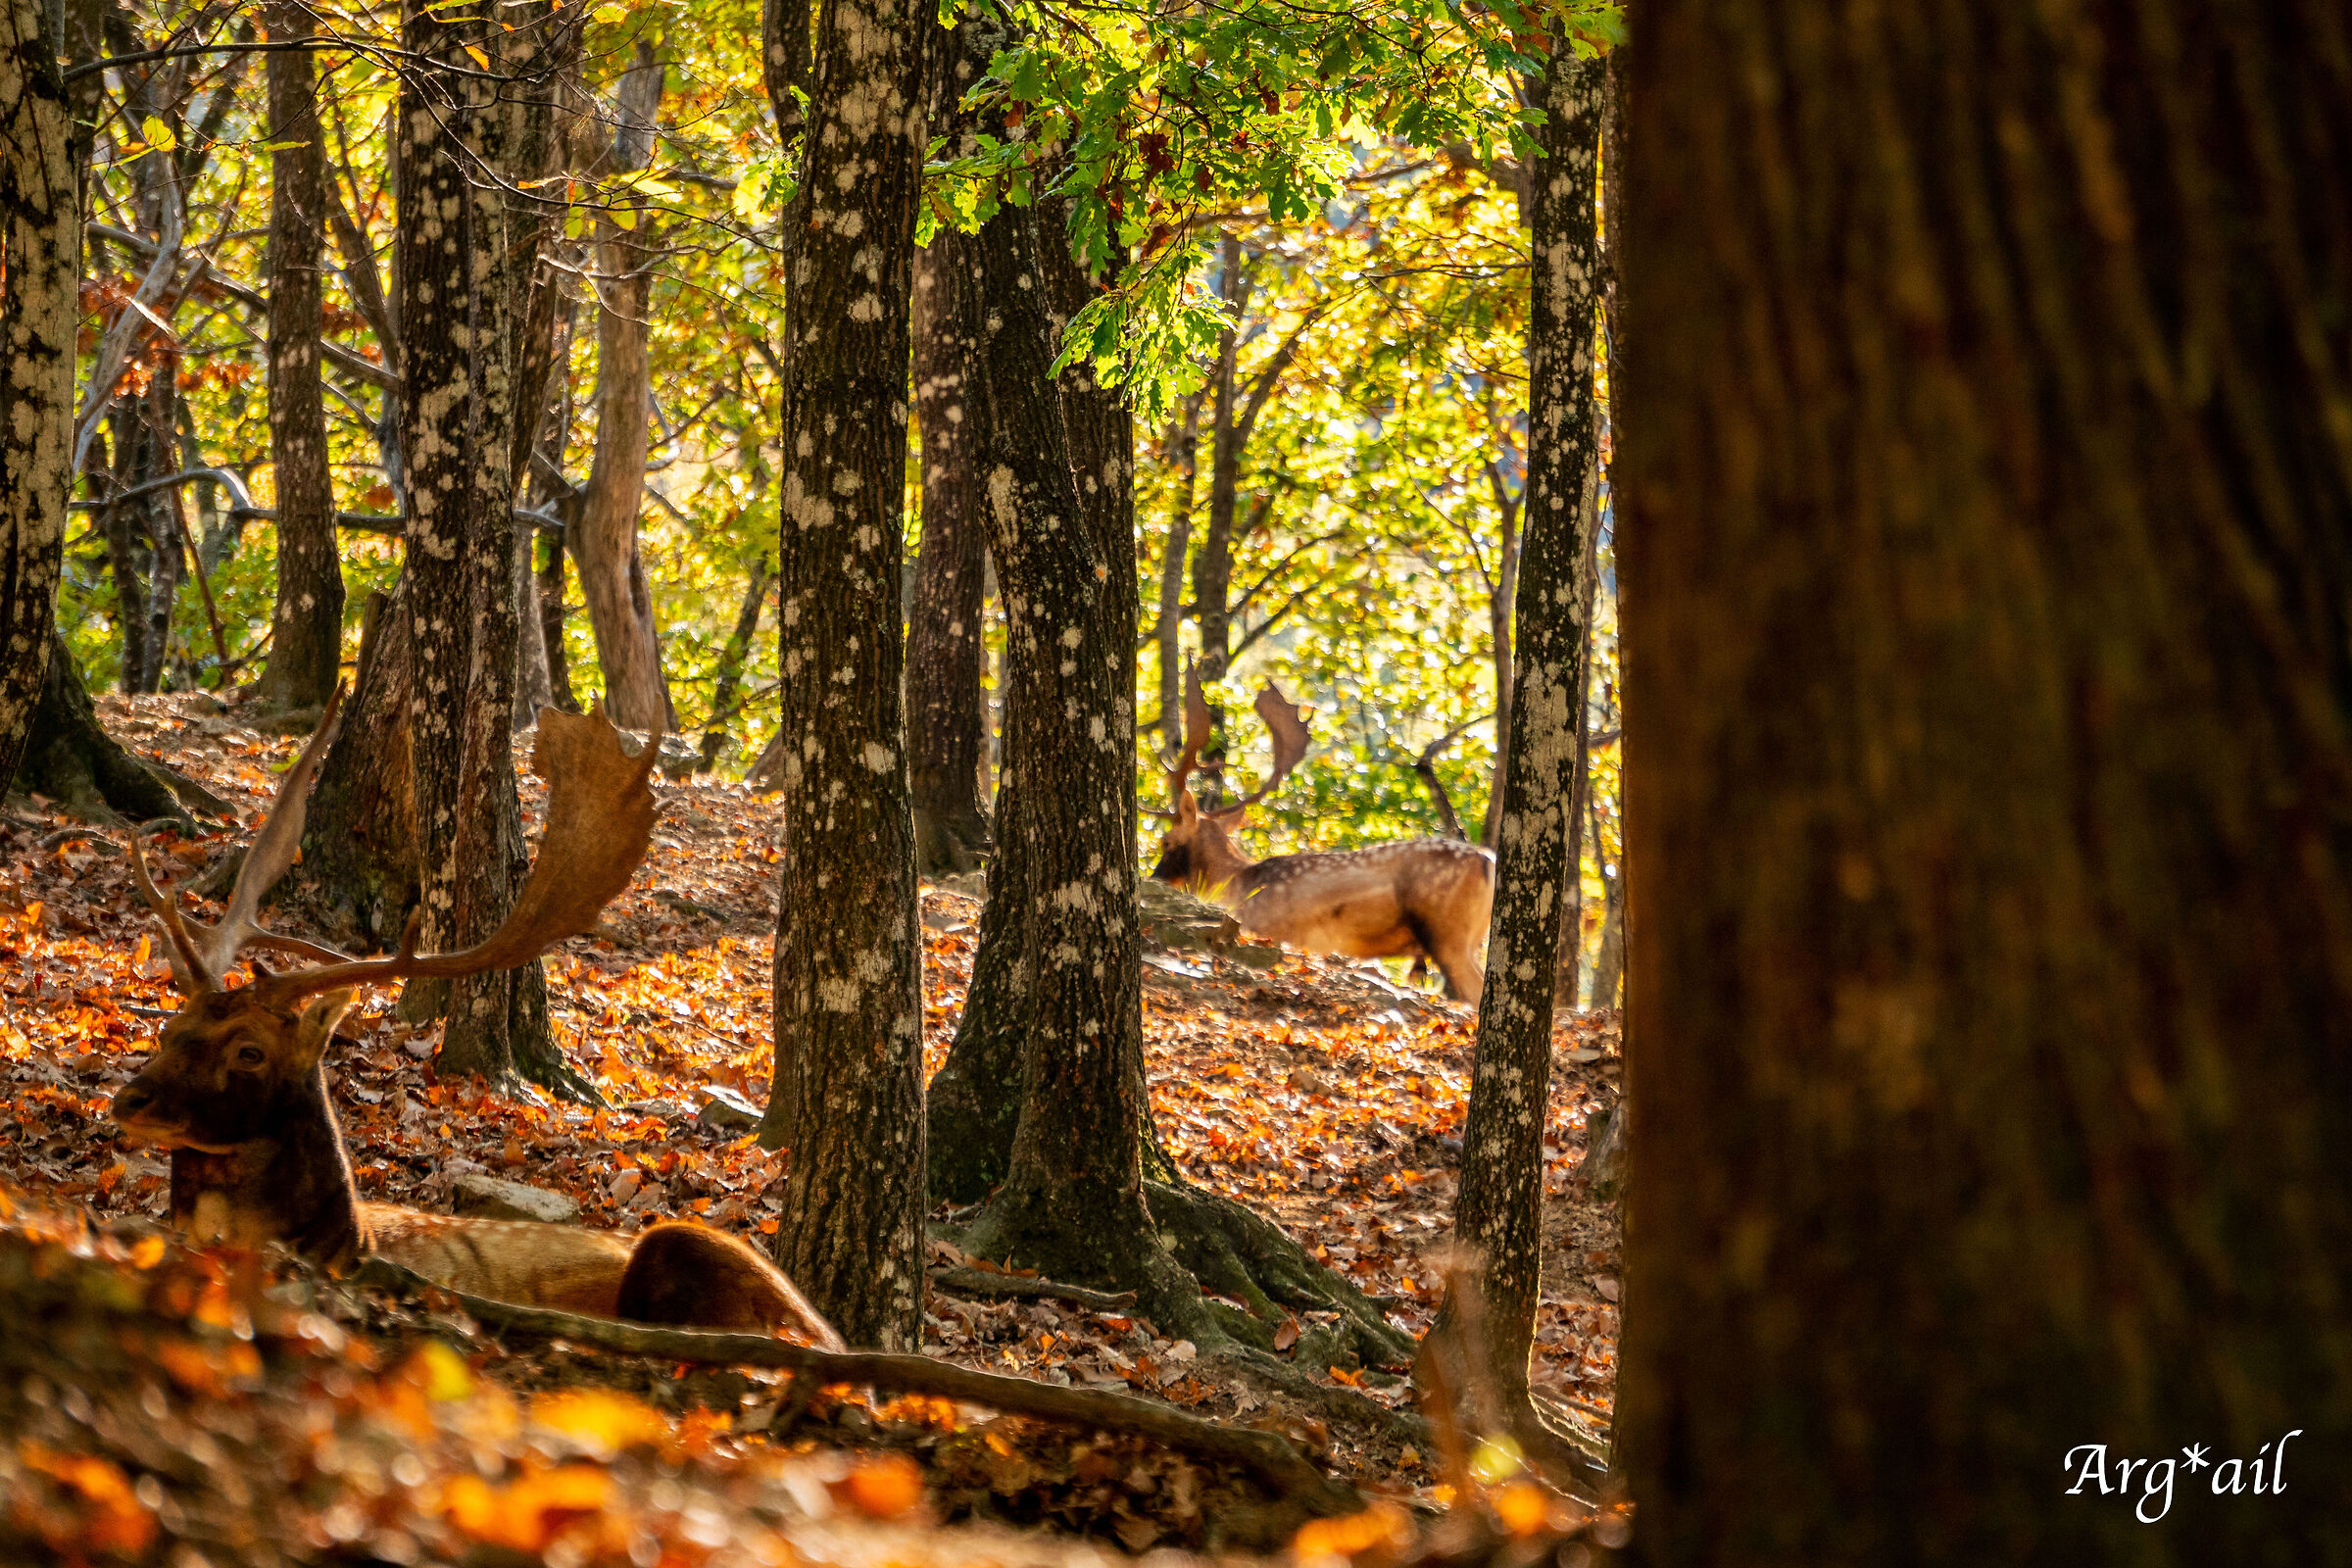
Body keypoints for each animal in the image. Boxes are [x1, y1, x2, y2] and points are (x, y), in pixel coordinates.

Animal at [107, 690, 840, 1347]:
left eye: (250, 1051)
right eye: (170, 1030)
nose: (129, 1098)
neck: (352, 1242)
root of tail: (826, 1330)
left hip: (689, 1245)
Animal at [1146, 669, 1496, 1002]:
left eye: (1166, 841)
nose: (1156, 878)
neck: (1234, 884)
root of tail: (1487, 862)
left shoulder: (1272, 929)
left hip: (1447, 932)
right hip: (1470, 939)